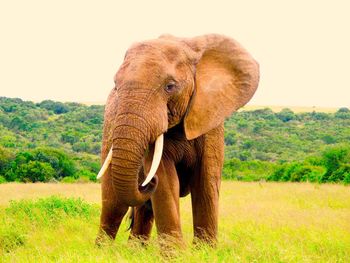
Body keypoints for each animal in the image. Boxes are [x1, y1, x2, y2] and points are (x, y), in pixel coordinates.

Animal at [95, 34, 260, 246]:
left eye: (170, 86)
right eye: (116, 85)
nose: (148, 181)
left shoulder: (211, 120)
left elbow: (206, 182)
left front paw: (204, 251)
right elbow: (165, 181)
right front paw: (177, 252)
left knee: (142, 209)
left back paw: (134, 250)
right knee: (114, 207)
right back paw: (103, 250)